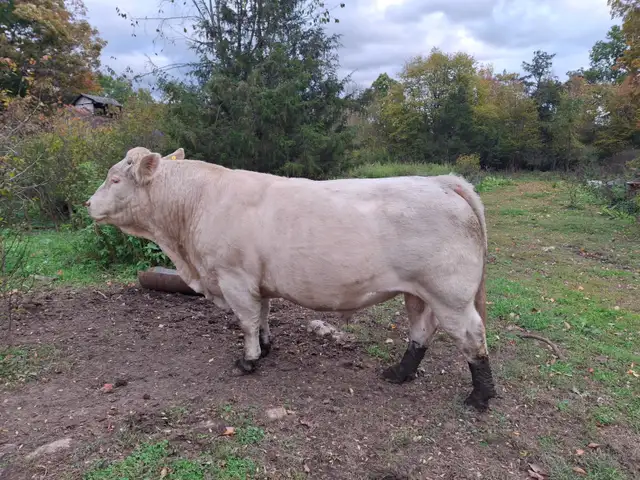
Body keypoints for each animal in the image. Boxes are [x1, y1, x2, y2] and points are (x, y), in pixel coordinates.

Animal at [85, 147, 497, 411]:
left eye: (115, 179)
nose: (88, 203)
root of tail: (441, 181)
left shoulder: (234, 278)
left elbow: (246, 321)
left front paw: (248, 360)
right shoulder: (256, 282)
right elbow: (263, 315)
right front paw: (266, 347)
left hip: (450, 293)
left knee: (471, 336)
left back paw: (479, 397)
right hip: (419, 292)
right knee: (421, 330)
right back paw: (399, 373)